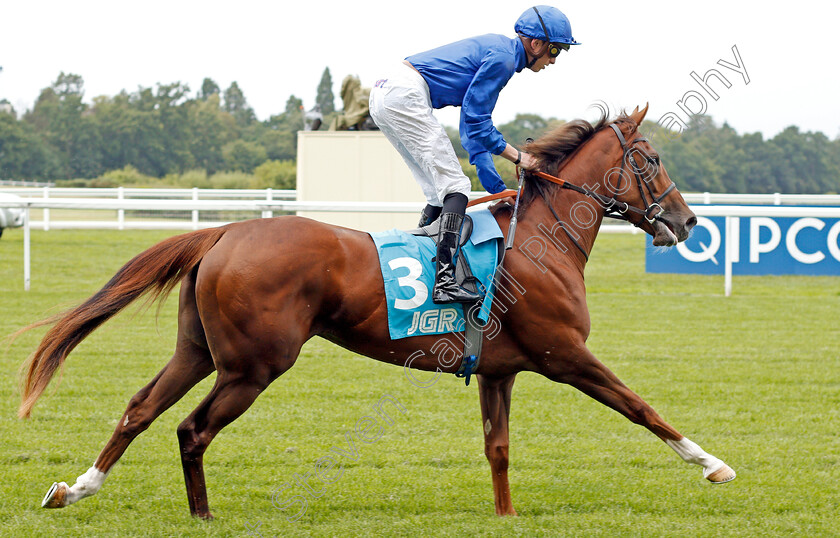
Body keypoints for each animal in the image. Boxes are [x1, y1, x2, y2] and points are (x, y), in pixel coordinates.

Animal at [18, 102, 728, 516]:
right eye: (652, 158)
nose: (688, 221)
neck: (540, 239)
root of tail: (223, 232)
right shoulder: (566, 355)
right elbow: (641, 407)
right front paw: (712, 464)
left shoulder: (499, 370)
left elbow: (498, 450)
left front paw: (505, 517)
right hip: (253, 365)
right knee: (192, 430)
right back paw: (202, 517)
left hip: (199, 352)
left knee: (140, 408)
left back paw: (74, 488)